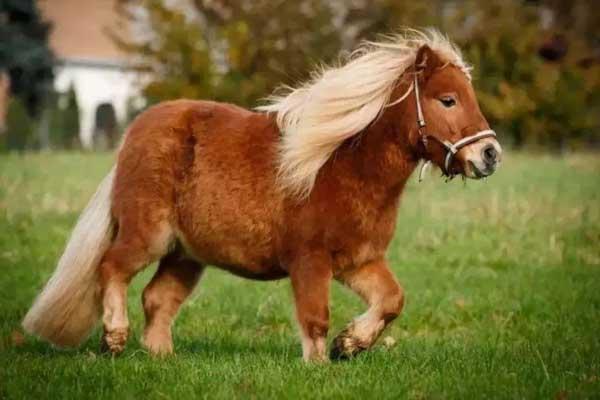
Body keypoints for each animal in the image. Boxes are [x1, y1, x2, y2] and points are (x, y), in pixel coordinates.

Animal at [22, 30, 502, 362]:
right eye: (447, 100)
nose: (490, 155)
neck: (340, 164)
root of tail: (135, 133)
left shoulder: (360, 261)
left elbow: (392, 300)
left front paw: (350, 344)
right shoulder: (309, 261)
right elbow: (315, 319)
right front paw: (320, 365)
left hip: (185, 254)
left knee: (157, 299)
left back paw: (162, 358)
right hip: (148, 235)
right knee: (111, 268)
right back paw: (114, 338)